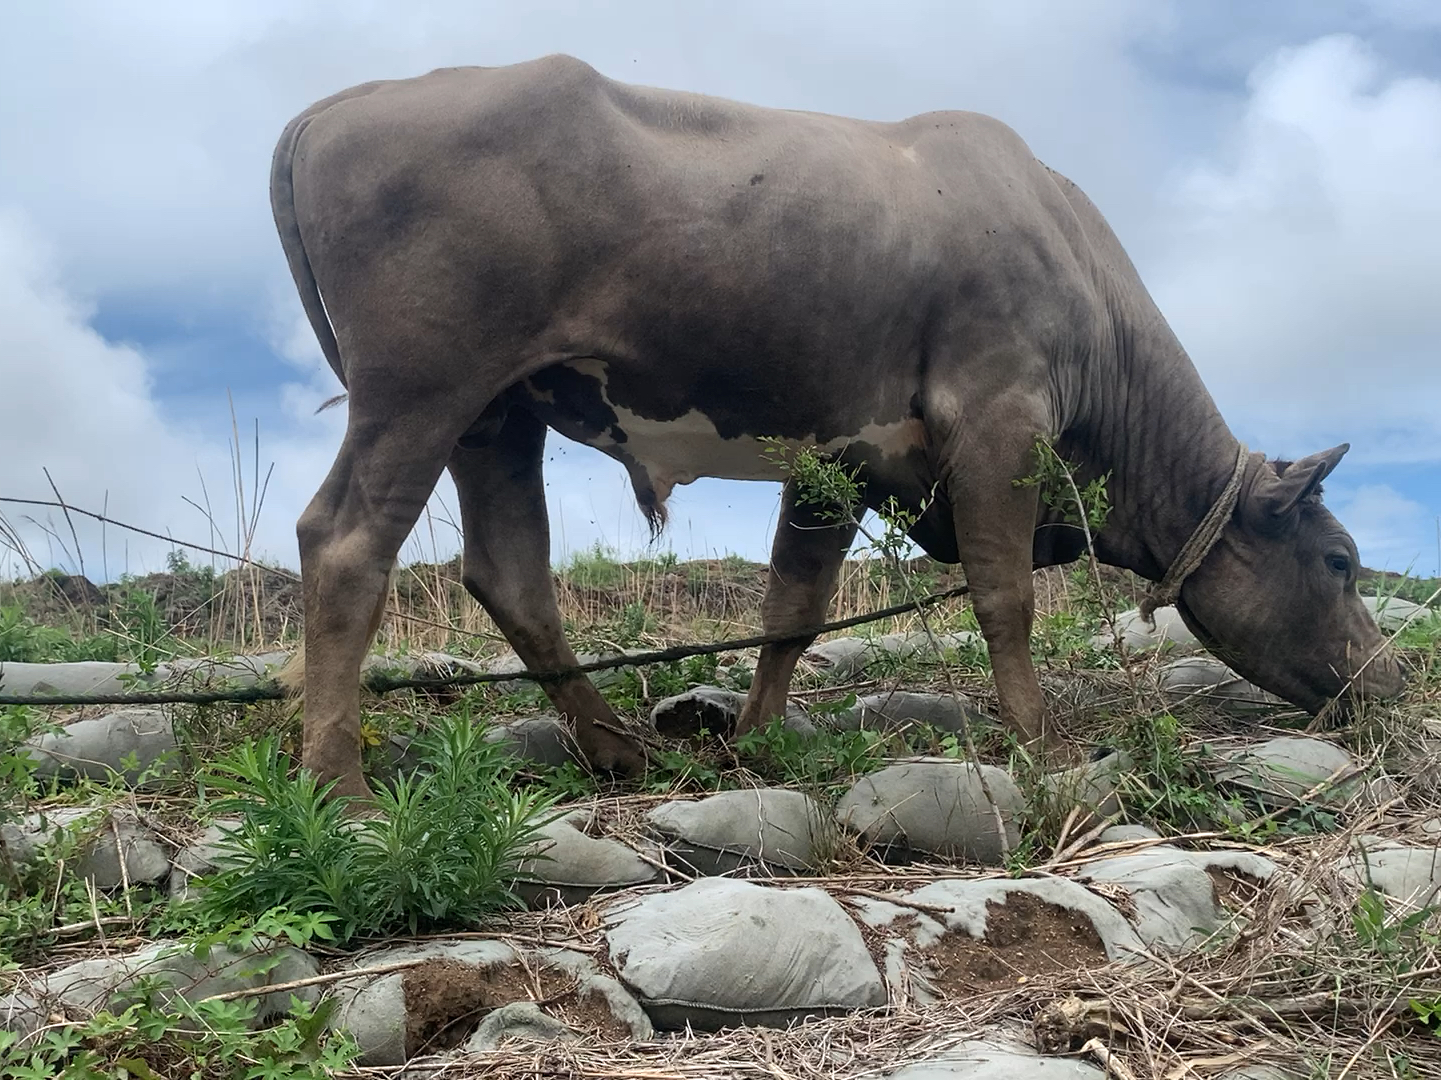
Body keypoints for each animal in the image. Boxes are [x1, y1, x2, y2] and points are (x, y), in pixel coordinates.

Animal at [272, 56, 1406, 801]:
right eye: (1341, 562)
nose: (1391, 679)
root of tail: (336, 104)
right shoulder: (997, 413)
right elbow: (1004, 596)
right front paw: (1042, 741)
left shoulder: (839, 463)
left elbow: (793, 605)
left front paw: (760, 737)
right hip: (422, 386)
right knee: (345, 544)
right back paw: (340, 788)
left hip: (498, 412)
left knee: (509, 570)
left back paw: (617, 750)